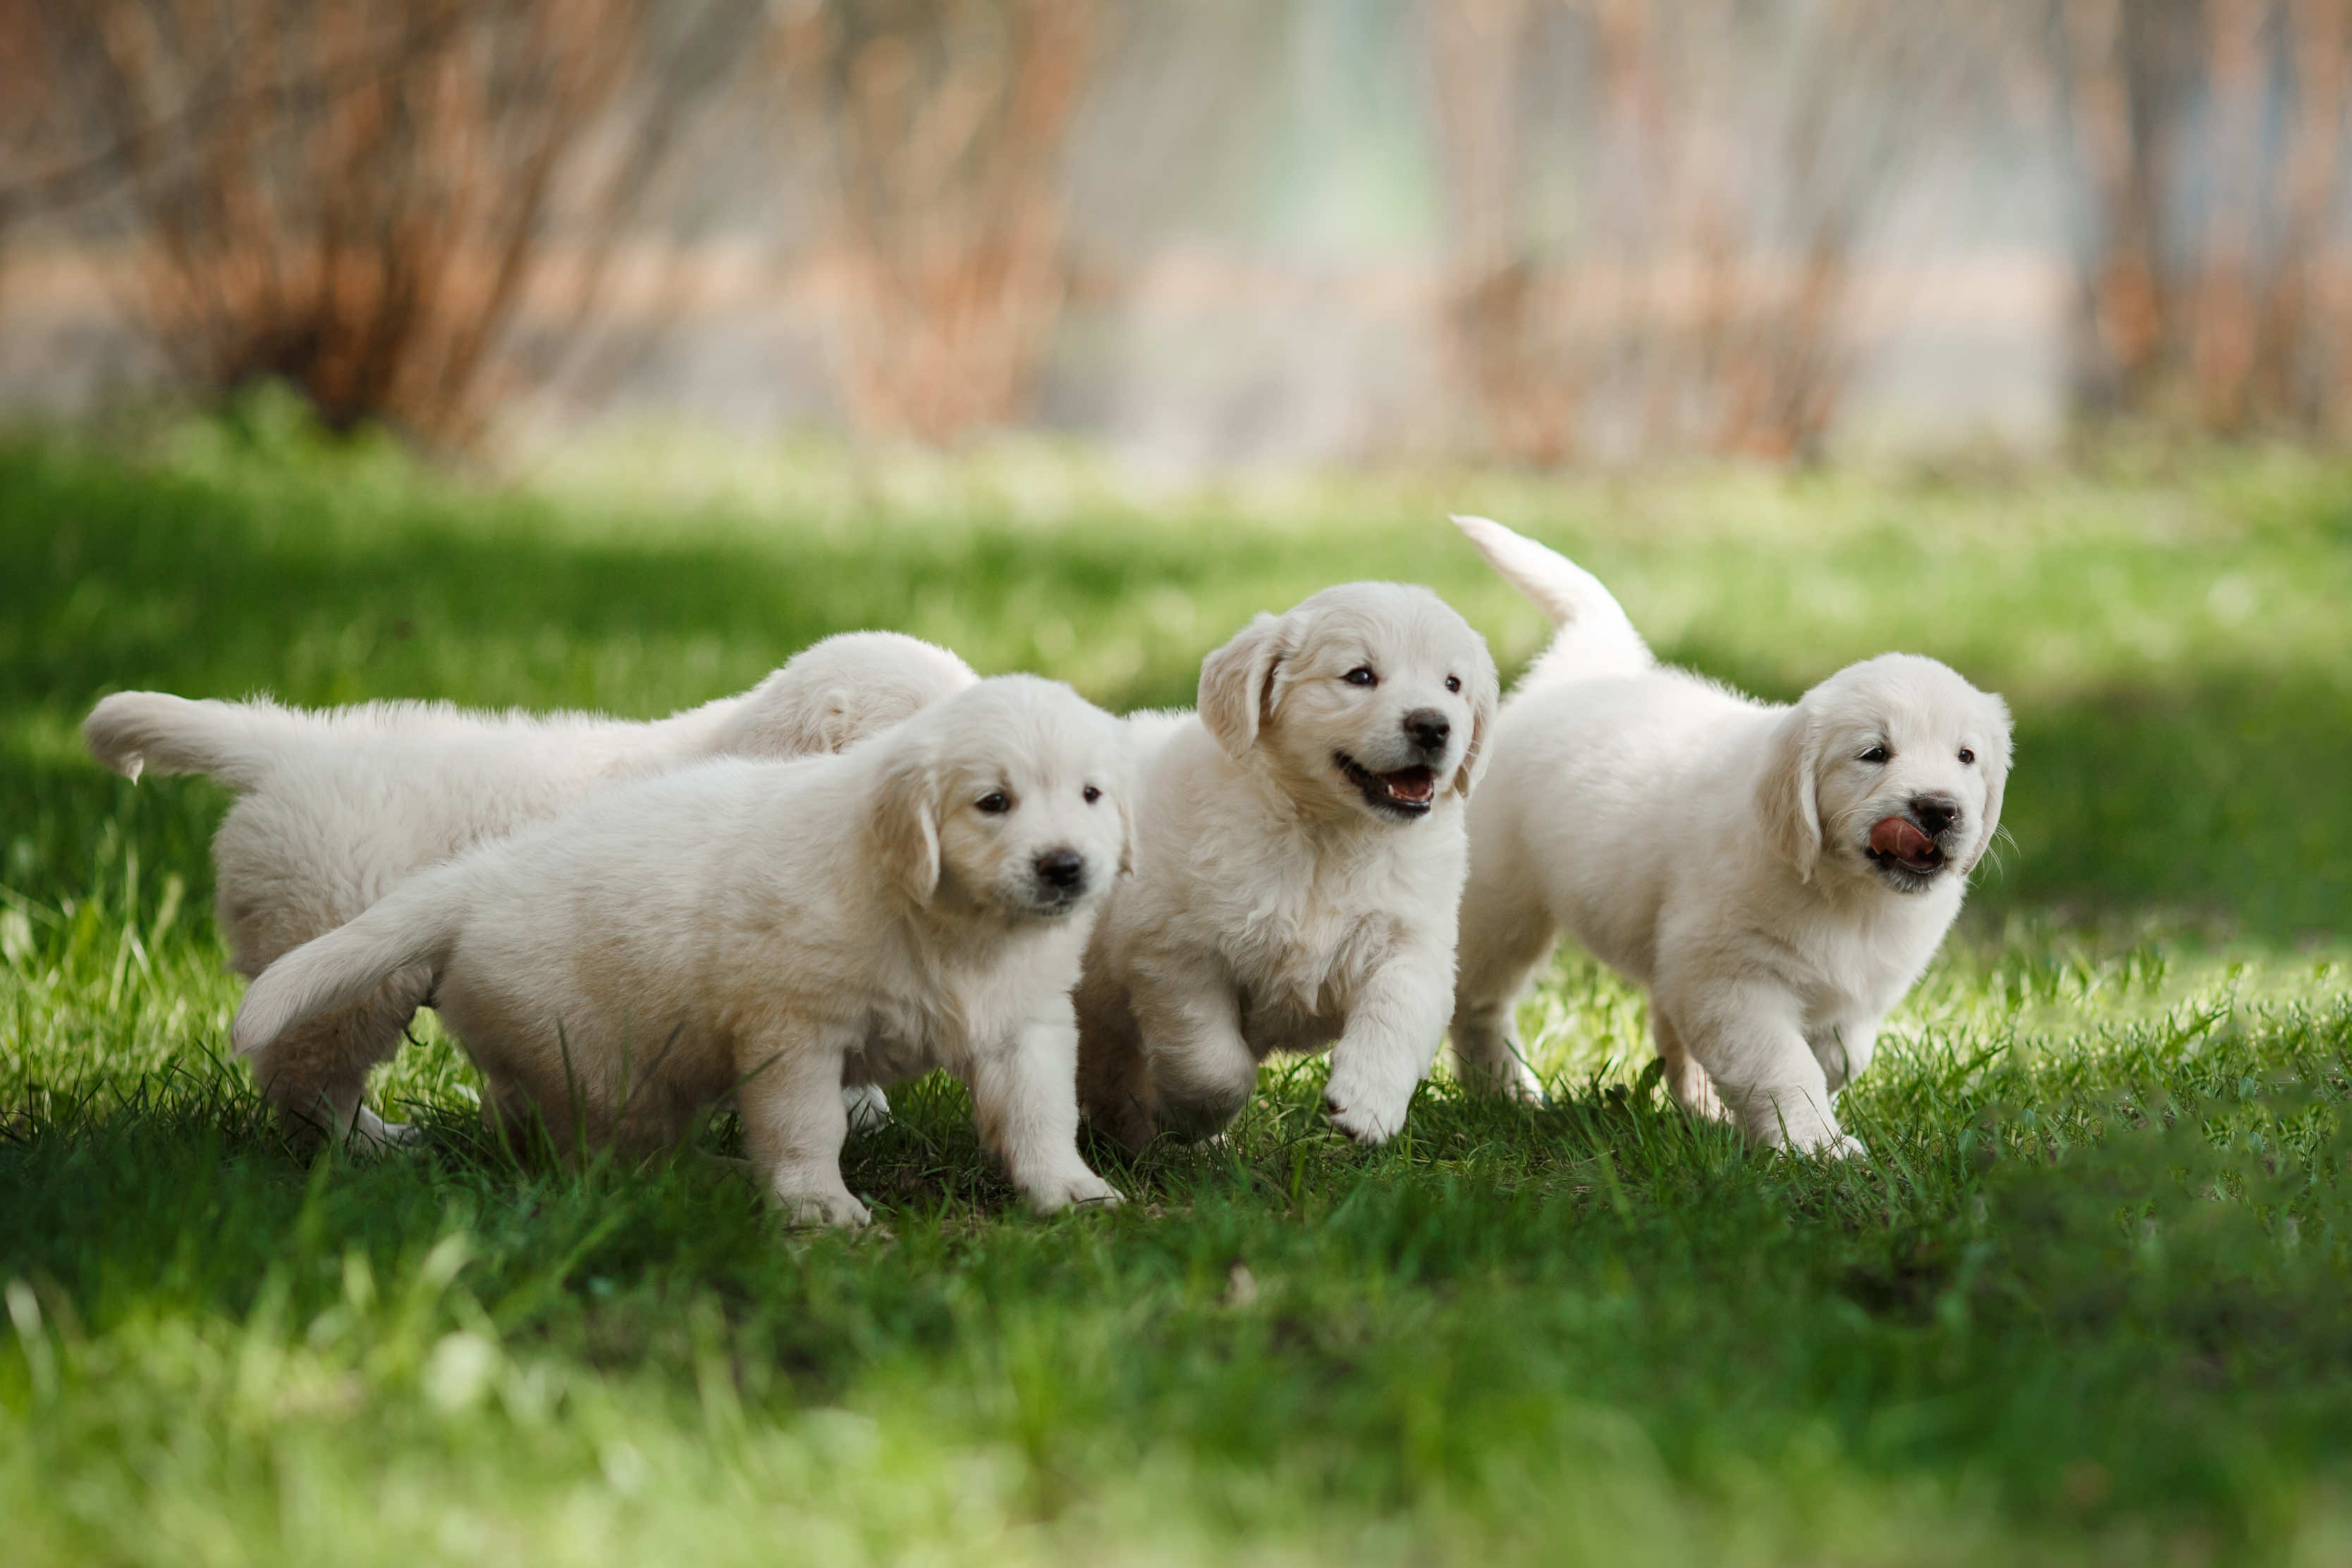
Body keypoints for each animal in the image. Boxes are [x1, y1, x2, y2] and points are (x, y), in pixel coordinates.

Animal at [232, 677, 1138, 1222]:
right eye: (992, 802)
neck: (954, 924)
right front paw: (817, 1208)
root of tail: (479, 879)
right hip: (599, 1060)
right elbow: (807, 1126)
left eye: (1093, 794)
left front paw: (1070, 1190)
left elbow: (1040, 1112)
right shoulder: (791, 1031)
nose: (1065, 867)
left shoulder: (1025, 1026)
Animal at [1077, 583, 1496, 1147]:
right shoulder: (1174, 952)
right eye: (1359, 676)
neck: (1332, 835)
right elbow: (1212, 1065)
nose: (1432, 725)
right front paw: (1188, 1118)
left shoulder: (1413, 937)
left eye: (1452, 684)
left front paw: (1369, 1102)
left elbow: (1399, 1009)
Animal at [1439, 515, 2013, 1151]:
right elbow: (1783, 1064)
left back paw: (1699, 1107)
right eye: (1874, 753)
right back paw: (1505, 1093)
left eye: (1965, 757)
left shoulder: (1855, 990)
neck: (1845, 890)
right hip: (1500, 903)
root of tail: (1581, 670)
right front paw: (1815, 1145)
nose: (1938, 809)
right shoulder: (1730, 977)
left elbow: (1840, 1055)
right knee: (1477, 1001)